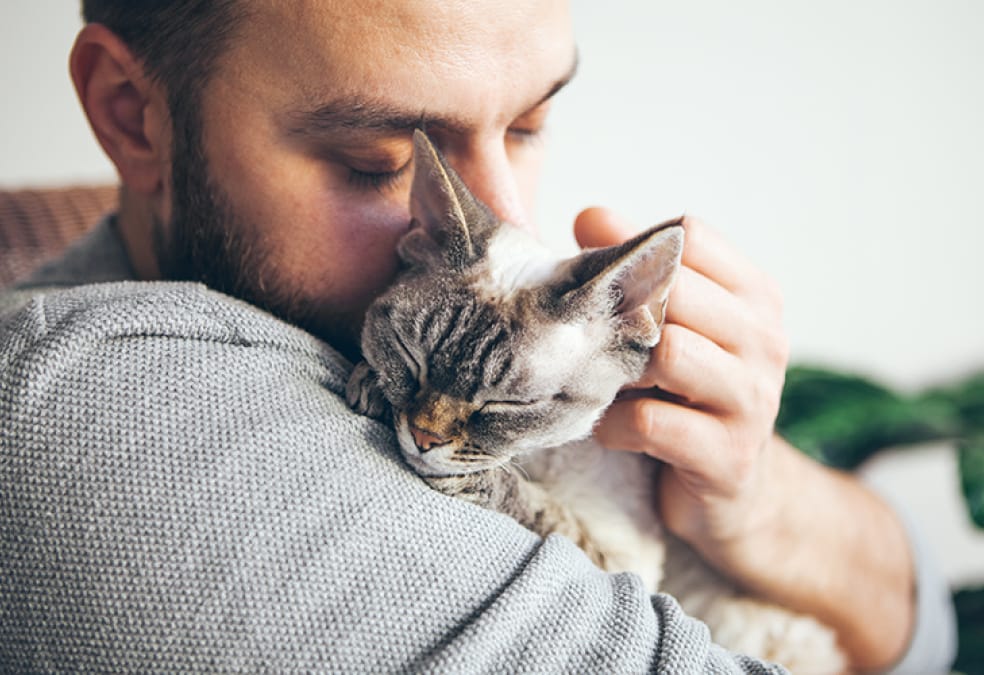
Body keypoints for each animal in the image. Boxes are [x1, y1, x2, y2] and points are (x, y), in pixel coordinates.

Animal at [350, 129, 848, 672]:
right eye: (410, 356)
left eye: (510, 404)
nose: (423, 437)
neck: (540, 455)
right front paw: (371, 384)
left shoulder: (627, 563)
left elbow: (545, 511)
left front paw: (479, 478)